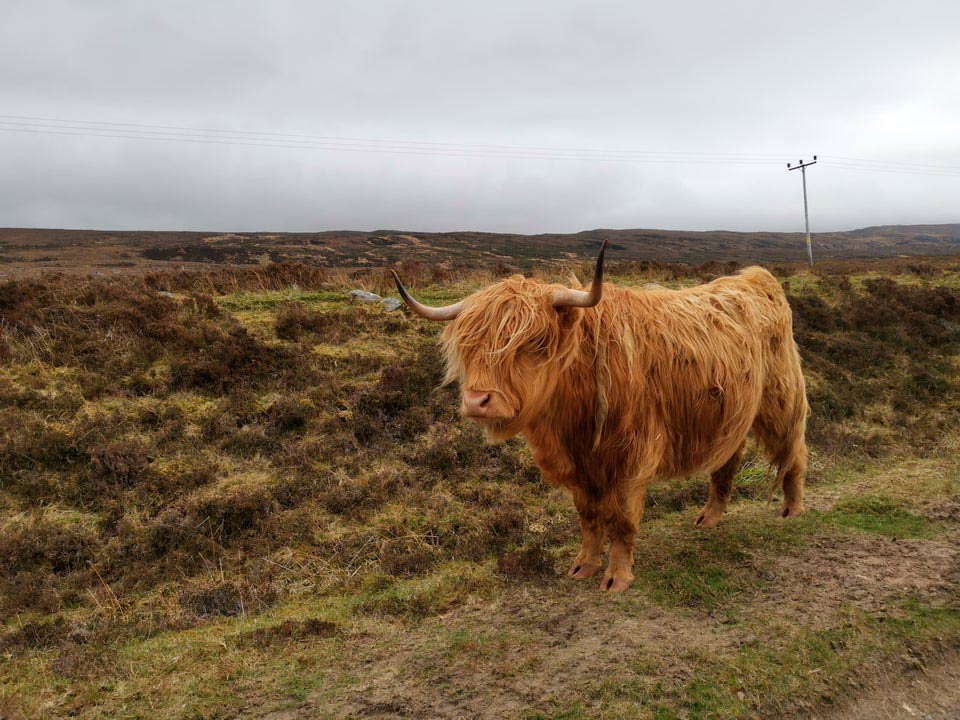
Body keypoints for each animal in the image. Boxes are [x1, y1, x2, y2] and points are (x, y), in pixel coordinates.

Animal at [390, 245, 808, 592]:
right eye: (470, 345)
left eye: (531, 343)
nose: (477, 401)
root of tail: (757, 279)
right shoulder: (577, 468)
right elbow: (589, 517)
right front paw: (584, 566)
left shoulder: (632, 457)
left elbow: (621, 519)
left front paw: (616, 577)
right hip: (731, 412)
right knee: (728, 460)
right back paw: (709, 516)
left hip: (779, 398)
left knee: (794, 450)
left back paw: (792, 508)